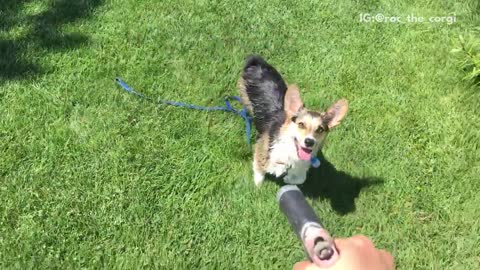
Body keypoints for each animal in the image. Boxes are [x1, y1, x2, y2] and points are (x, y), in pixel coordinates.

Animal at [237, 54, 346, 186]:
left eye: (320, 129)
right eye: (301, 124)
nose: (309, 142)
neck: (291, 150)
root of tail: (257, 63)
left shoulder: (302, 166)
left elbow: (300, 178)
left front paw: (288, 179)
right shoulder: (261, 150)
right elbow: (259, 172)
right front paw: (257, 187)